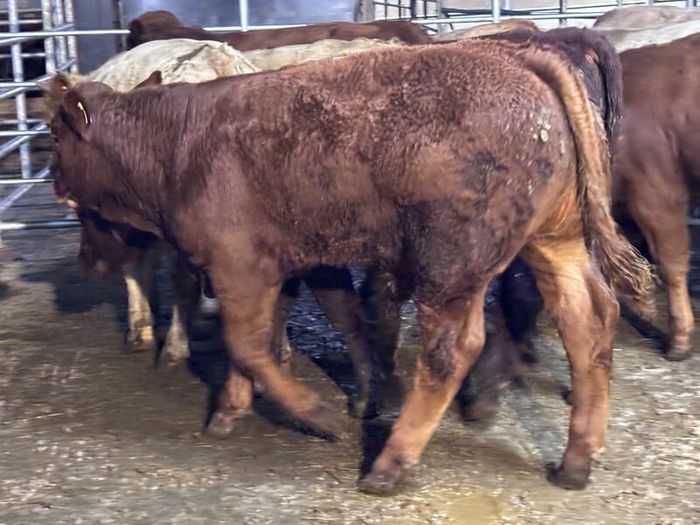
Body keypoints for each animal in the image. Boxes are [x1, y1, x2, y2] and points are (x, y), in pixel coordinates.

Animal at [49, 37, 653, 493]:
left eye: (55, 135)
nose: (53, 181)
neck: (176, 143)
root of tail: (522, 59)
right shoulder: (278, 266)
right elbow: (257, 341)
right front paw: (229, 410)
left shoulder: (239, 264)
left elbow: (246, 342)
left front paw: (312, 411)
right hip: (555, 238)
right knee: (587, 318)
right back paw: (575, 461)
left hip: (452, 263)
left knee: (451, 351)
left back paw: (389, 465)